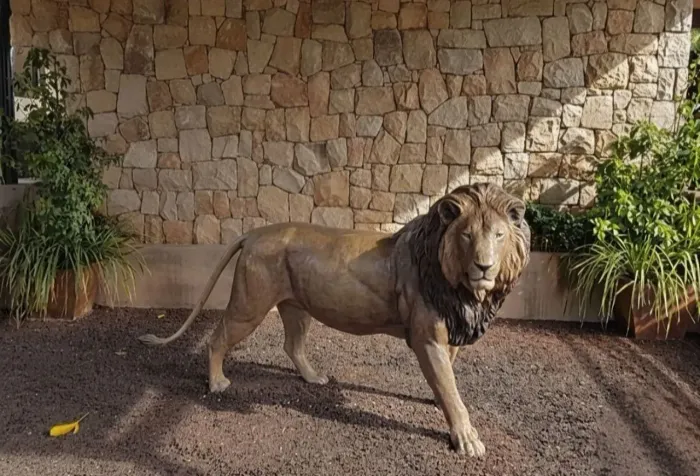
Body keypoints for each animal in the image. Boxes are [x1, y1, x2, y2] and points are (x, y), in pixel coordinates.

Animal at [138, 182, 531, 457]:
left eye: (498, 235)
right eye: (467, 235)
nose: (484, 266)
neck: (459, 288)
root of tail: (252, 233)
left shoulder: (448, 333)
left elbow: (446, 380)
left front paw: (439, 404)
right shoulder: (427, 337)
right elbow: (449, 387)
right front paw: (467, 440)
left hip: (297, 308)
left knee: (291, 345)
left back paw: (314, 378)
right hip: (250, 305)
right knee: (217, 338)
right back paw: (218, 383)